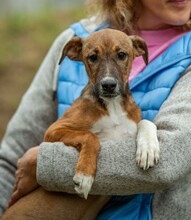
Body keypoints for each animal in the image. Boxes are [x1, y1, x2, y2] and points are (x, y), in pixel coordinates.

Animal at [44, 28, 159, 199]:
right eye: (92, 57)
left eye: (121, 55)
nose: (108, 85)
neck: (112, 106)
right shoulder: (54, 130)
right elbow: (90, 136)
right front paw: (84, 175)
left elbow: (146, 122)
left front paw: (148, 149)